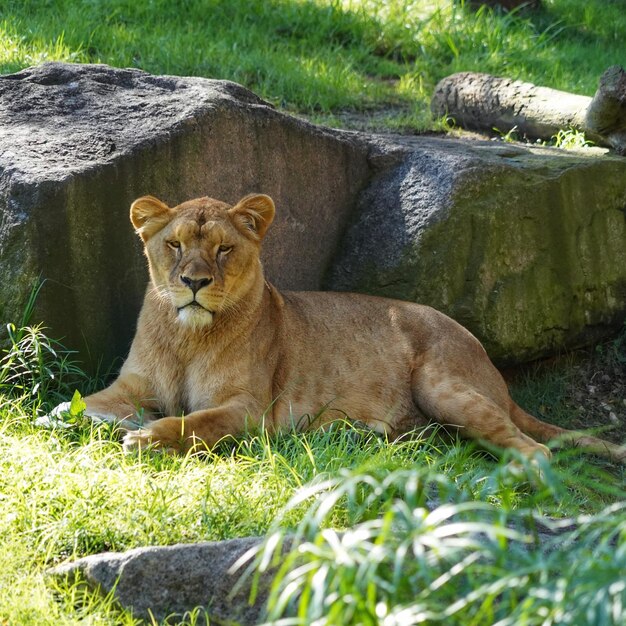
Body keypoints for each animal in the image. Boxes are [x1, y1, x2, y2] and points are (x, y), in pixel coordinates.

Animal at [61, 193, 620, 460]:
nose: (194, 282)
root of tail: (491, 366)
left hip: (442, 383)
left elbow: (194, 424)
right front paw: (59, 419)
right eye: (174, 244)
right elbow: (82, 404)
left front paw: (145, 438)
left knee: (533, 446)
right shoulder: (132, 386)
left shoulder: (251, 411)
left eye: (224, 249)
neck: (187, 337)